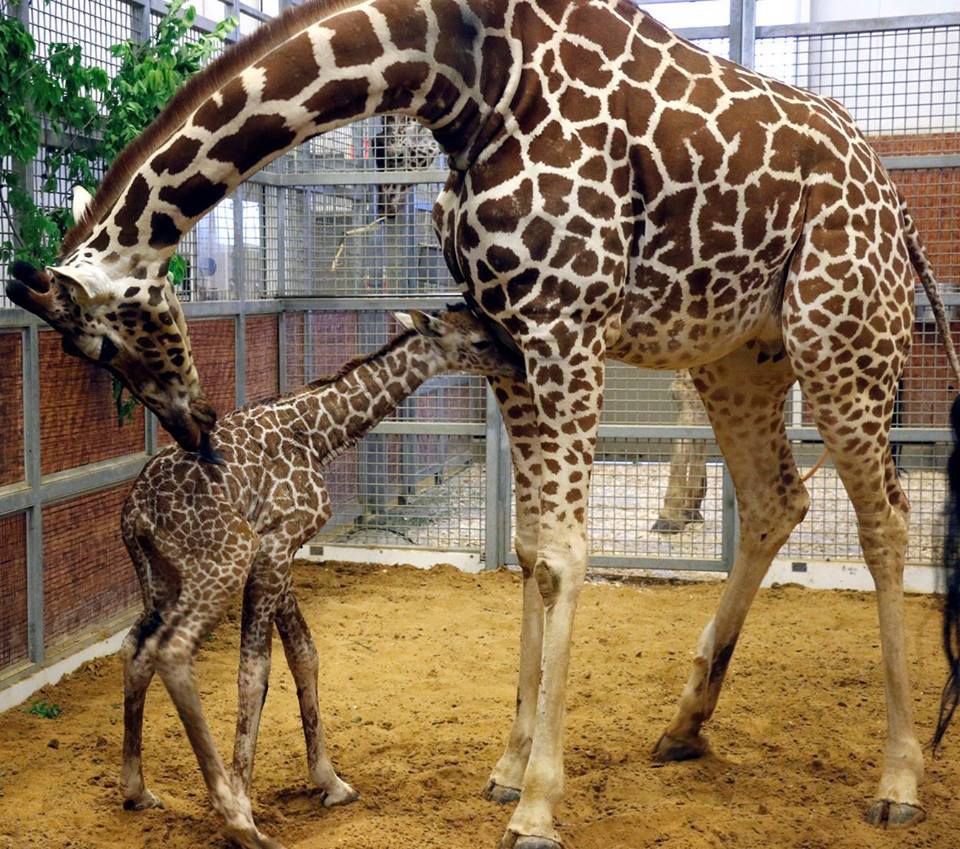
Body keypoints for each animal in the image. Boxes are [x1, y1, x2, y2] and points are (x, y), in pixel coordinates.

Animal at [120, 306, 524, 848]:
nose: (519, 364)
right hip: (222, 561)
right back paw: (237, 818)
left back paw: (137, 791)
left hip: (160, 576)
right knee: (172, 649)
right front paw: (246, 803)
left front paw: (331, 782)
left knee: (136, 647)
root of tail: (137, 512)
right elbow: (255, 670)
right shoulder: (271, 546)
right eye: (481, 339)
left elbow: (304, 655)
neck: (316, 432)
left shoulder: (281, 550)